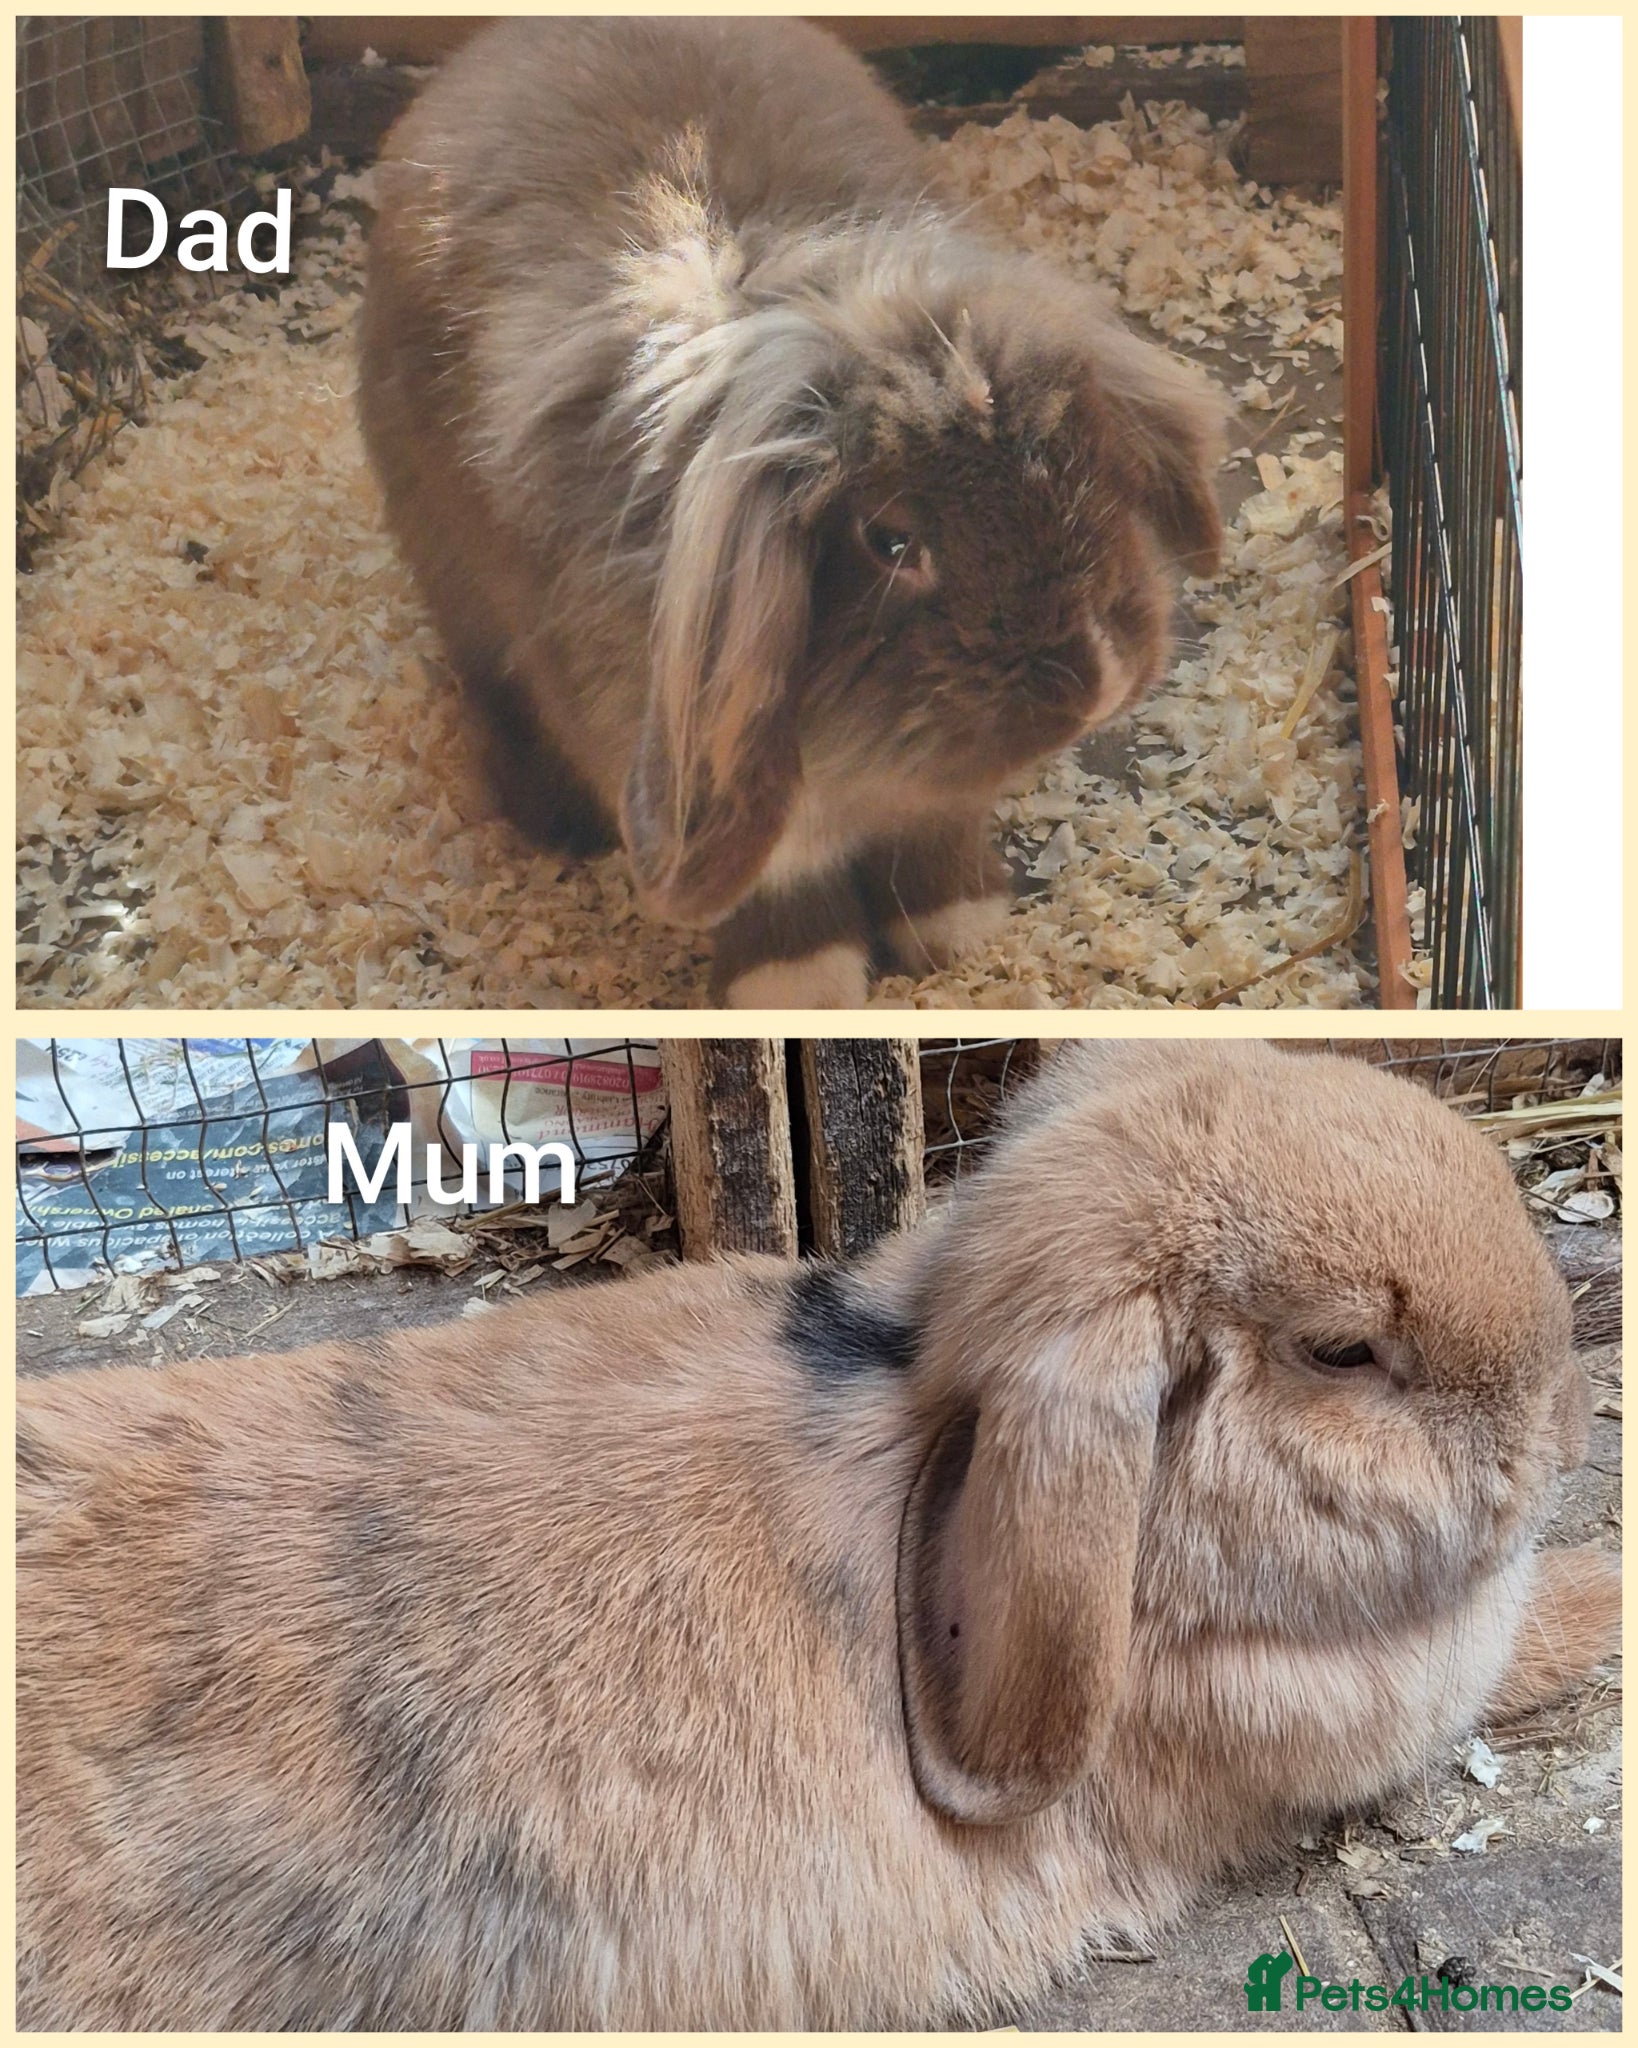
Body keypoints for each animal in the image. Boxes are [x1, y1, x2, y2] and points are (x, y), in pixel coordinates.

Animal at [356, 18, 1227, 1006]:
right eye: (893, 541)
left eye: (1084, 462)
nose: (1101, 678)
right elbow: (779, 885)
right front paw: (802, 987)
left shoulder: (924, 797)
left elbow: (931, 838)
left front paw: (958, 928)